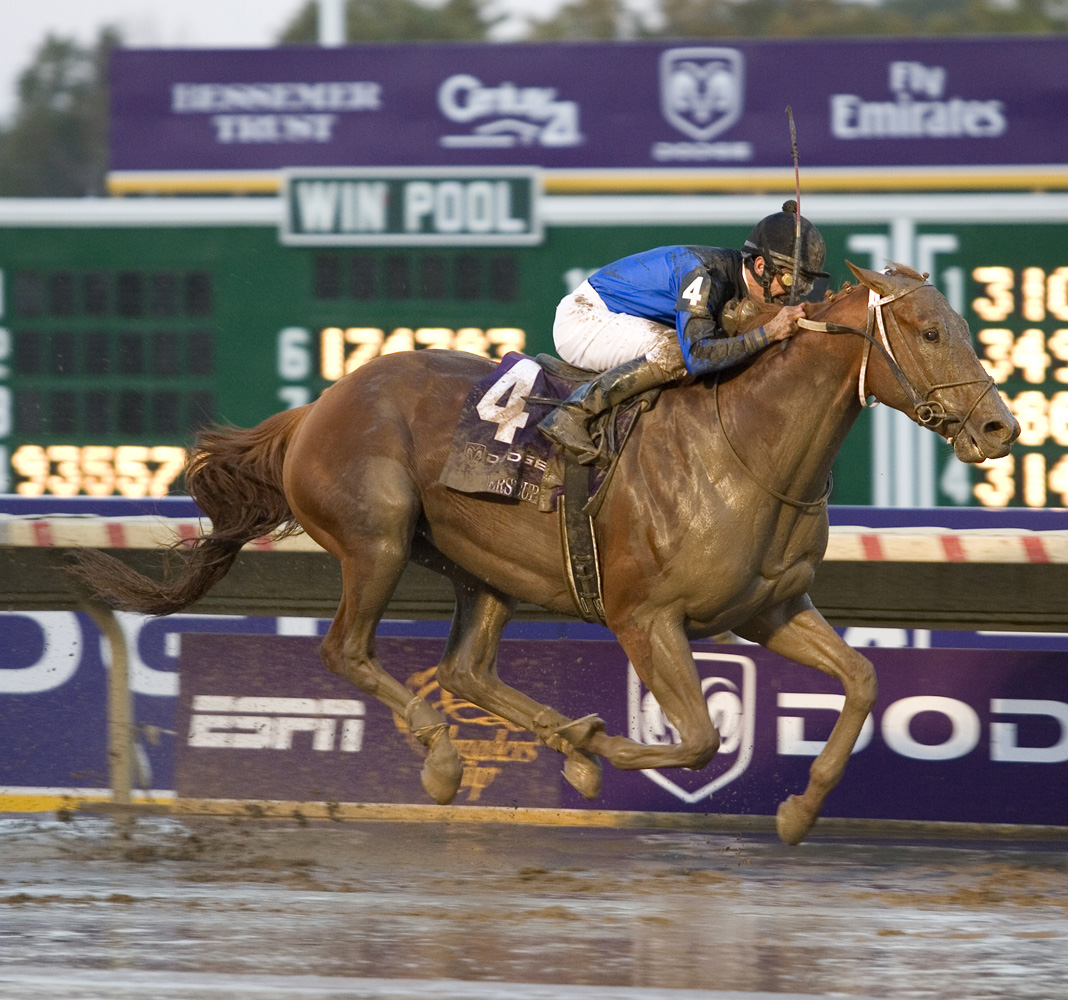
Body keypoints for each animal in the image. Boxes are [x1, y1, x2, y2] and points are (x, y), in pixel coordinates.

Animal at [77, 263, 1016, 841]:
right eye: (928, 332)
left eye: (965, 325)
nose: (1000, 427)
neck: (745, 443)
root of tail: (317, 406)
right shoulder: (647, 617)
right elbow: (699, 739)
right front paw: (600, 754)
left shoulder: (771, 608)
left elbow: (862, 681)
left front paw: (800, 808)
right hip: (377, 537)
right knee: (350, 650)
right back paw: (449, 758)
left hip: (489, 568)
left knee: (464, 670)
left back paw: (543, 739)